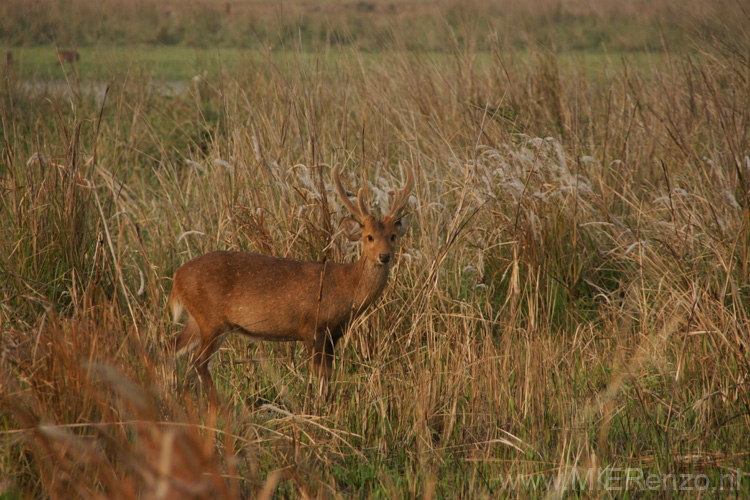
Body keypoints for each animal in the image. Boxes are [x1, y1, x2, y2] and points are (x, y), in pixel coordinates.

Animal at [167, 162, 414, 404]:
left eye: (392, 236)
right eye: (369, 237)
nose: (384, 256)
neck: (346, 287)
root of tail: (177, 276)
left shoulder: (333, 335)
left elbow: (328, 378)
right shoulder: (313, 328)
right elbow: (319, 378)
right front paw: (317, 407)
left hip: (197, 320)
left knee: (170, 346)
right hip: (211, 319)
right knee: (198, 362)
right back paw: (216, 404)